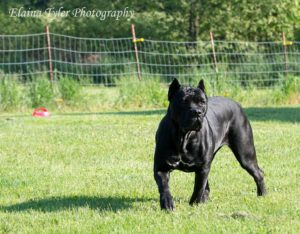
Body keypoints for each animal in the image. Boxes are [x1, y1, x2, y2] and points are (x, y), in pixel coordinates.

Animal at [154, 78, 266, 210]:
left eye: (202, 102)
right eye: (184, 101)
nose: (197, 112)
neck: (184, 136)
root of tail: (236, 104)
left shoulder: (202, 168)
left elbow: (198, 188)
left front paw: (194, 204)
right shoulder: (161, 167)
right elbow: (164, 187)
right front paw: (167, 204)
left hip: (245, 154)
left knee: (258, 173)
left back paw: (263, 194)